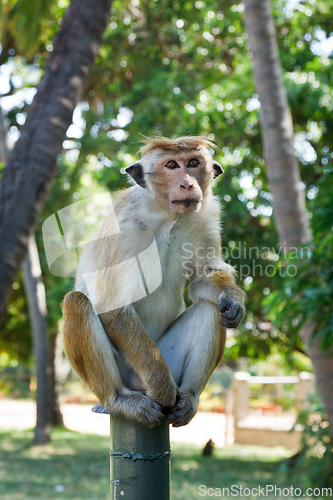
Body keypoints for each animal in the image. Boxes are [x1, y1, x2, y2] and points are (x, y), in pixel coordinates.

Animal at [62, 135, 244, 428]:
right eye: (171, 165)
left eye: (193, 163)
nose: (187, 183)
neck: (167, 217)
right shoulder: (124, 226)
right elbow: (114, 306)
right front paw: (162, 389)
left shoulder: (206, 217)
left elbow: (203, 280)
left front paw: (233, 297)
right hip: (134, 368)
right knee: (76, 301)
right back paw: (120, 399)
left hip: (167, 358)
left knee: (210, 308)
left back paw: (189, 398)